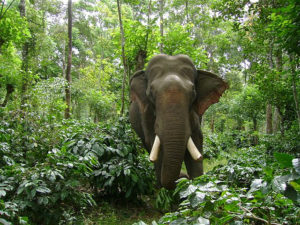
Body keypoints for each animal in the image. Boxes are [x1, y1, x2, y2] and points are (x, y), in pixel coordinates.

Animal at [128, 54, 227, 190]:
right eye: (151, 92)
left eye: (193, 92)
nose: (184, 177)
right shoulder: (146, 112)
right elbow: (154, 142)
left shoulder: (193, 113)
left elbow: (197, 140)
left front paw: (198, 186)